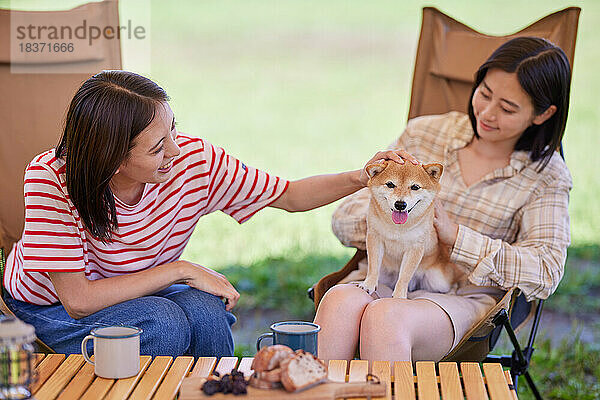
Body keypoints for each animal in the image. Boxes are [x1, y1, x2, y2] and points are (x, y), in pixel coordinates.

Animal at [358, 161, 466, 298]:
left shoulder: (415, 247)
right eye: (390, 184)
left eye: (415, 187)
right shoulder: (374, 237)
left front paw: (399, 296)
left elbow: (404, 275)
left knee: (454, 283)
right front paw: (368, 285)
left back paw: (451, 293)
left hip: (439, 280)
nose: (400, 204)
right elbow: (373, 266)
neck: (397, 227)